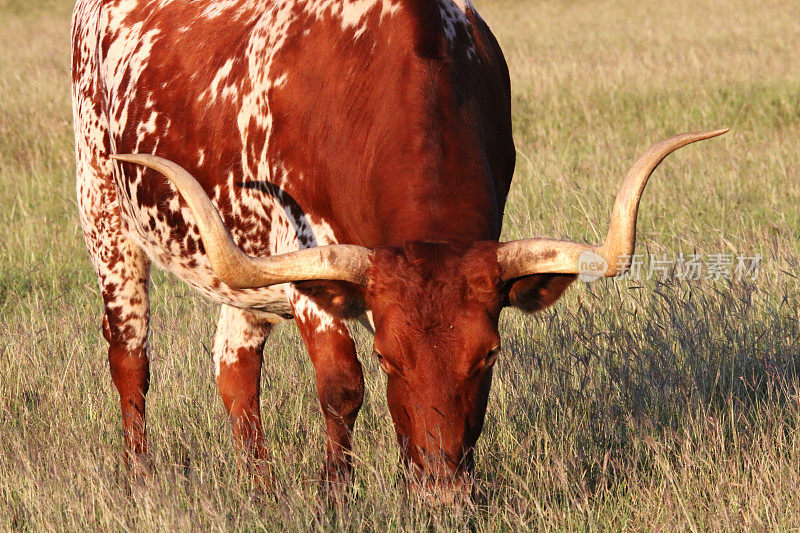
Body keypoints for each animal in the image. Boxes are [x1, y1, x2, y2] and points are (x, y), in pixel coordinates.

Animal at [72, 0, 728, 494]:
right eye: (388, 358)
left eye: (489, 356)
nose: (441, 490)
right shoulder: (308, 262)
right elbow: (341, 387)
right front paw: (334, 498)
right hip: (104, 210)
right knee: (130, 356)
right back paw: (139, 481)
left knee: (236, 370)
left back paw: (261, 490)